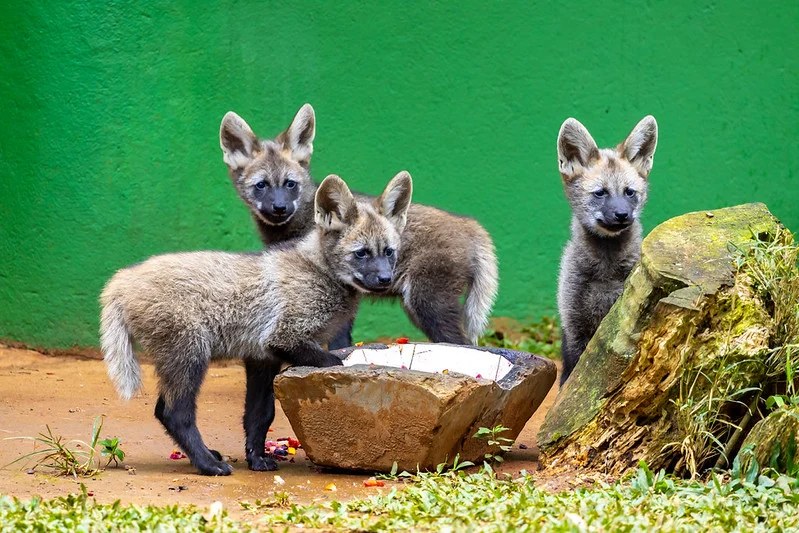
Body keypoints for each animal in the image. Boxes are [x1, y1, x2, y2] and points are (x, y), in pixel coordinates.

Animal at [100, 172, 412, 475]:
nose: (385, 280)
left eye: (388, 252)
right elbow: (332, 362)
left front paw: (257, 459)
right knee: (173, 413)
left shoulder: (262, 357)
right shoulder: (284, 339)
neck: (319, 271)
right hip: (190, 355)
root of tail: (120, 280)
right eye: (362, 253)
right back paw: (208, 465)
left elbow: (260, 416)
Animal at [556, 115, 658, 385]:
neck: (606, 271)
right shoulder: (574, 327)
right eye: (600, 193)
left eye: (629, 192)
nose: (622, 215)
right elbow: (571, 380)